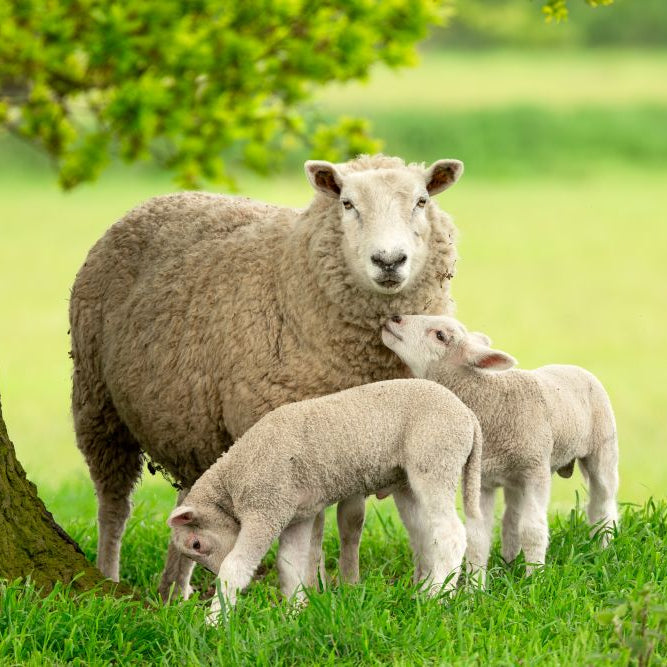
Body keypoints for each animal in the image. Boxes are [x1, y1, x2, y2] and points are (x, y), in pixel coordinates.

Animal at [69, 154, 464, 598]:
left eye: (421, 200)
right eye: (346, 203)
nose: (389, 261)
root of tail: (157, 199)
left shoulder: (359, 437)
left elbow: (351, 519)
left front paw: (347, 584)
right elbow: (314, 527)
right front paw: (314, 587)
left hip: (192, 425)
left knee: (187, 499)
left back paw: (174, 591)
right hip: (96, 403)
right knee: (114, 504)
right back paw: (107, 575)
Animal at [166, 378, 482, 622]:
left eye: (196, 544)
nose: (212, 575)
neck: (233, 477)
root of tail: (469, 415)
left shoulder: (265, 509)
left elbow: (235, 567)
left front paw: (214, 621)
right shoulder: (297, 514)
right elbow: (289, 565)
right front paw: (293, 615)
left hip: (435, 460)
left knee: (452, 534)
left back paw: (438, 598)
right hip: (409, 482)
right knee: (428, 537)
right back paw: (425, 591)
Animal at [381, 314, 619, 580]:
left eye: (440, 336)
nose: (395, 317)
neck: (491, 402)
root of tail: (573, 367)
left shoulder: (536, 470)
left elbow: (533, 529)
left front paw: (534, 579)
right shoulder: (482, 480)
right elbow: (478, 537)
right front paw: (475, 586)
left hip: (602, 448)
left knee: (602, 503)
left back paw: (604, 548)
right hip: (514, 478)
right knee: (511, 520)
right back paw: (509, 562)